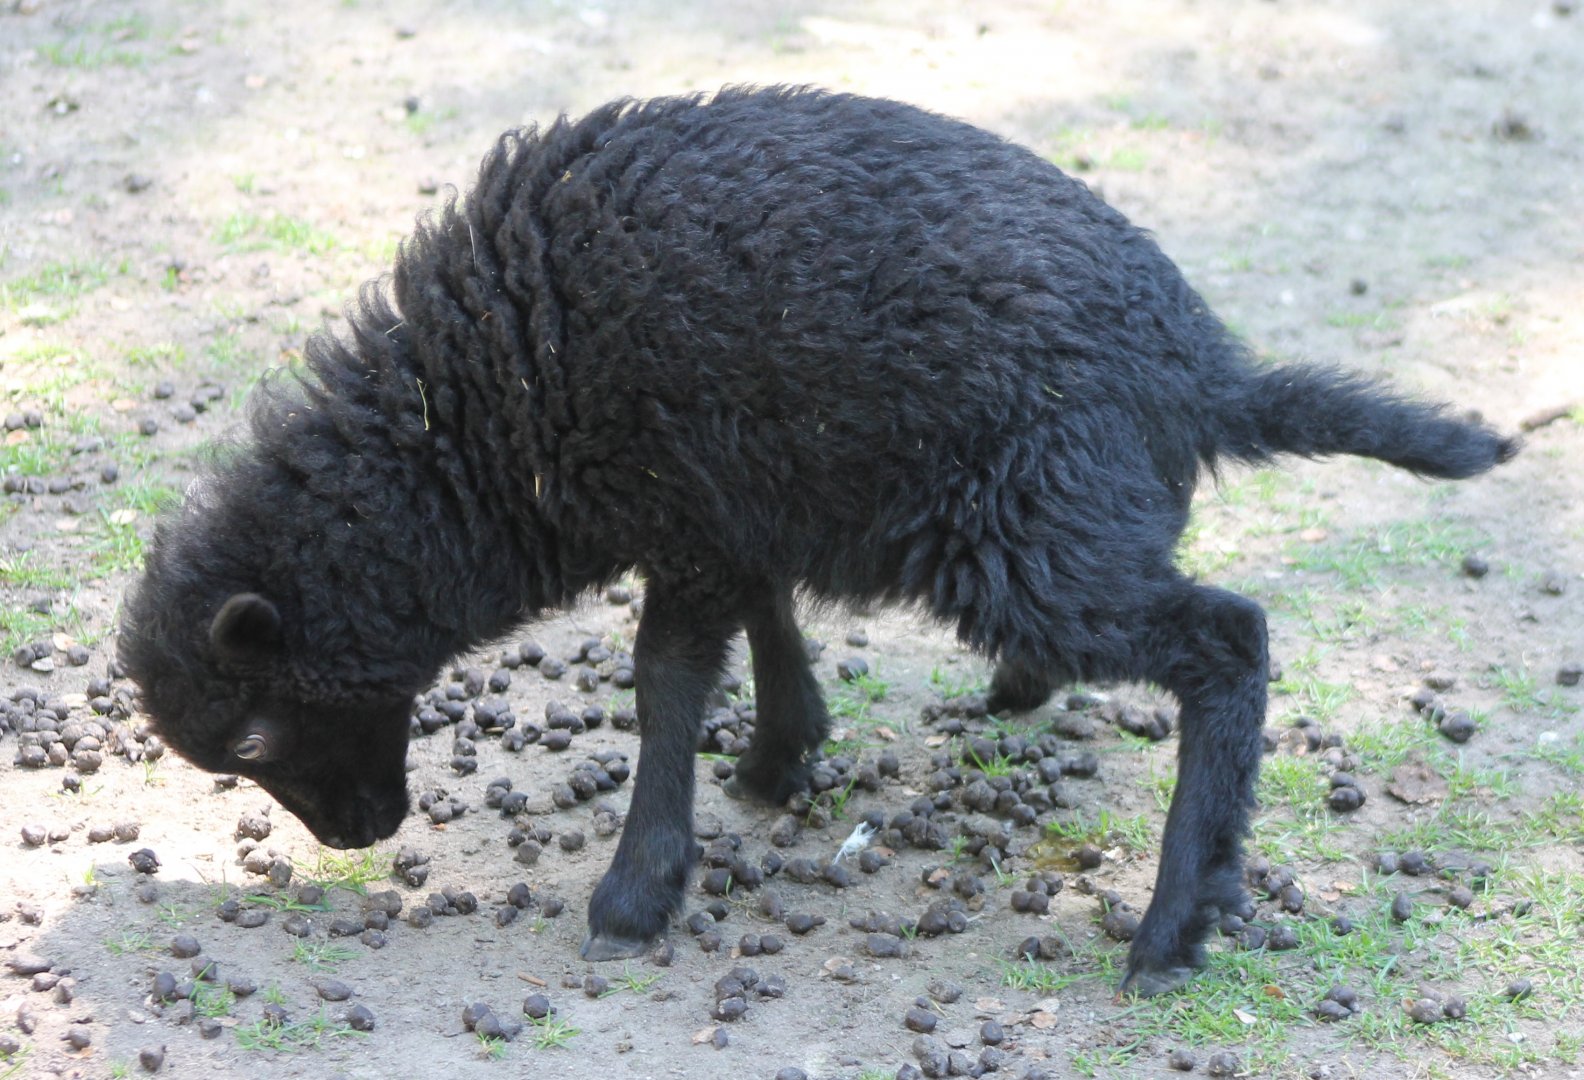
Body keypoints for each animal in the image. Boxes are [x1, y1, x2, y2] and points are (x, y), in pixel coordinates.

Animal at [119, 87, 1515, 995]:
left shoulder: (680, 505)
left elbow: (667, 681)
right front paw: (783, 758)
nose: (361, 838)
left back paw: (1172, 928)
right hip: (1048, 524)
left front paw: (637, 894)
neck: (471, 428)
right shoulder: (731, 494)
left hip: (1029, 541)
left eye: (252, 741)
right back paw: (1031, 706)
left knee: (1229, 642)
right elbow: (763, 615)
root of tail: (1202, 370)